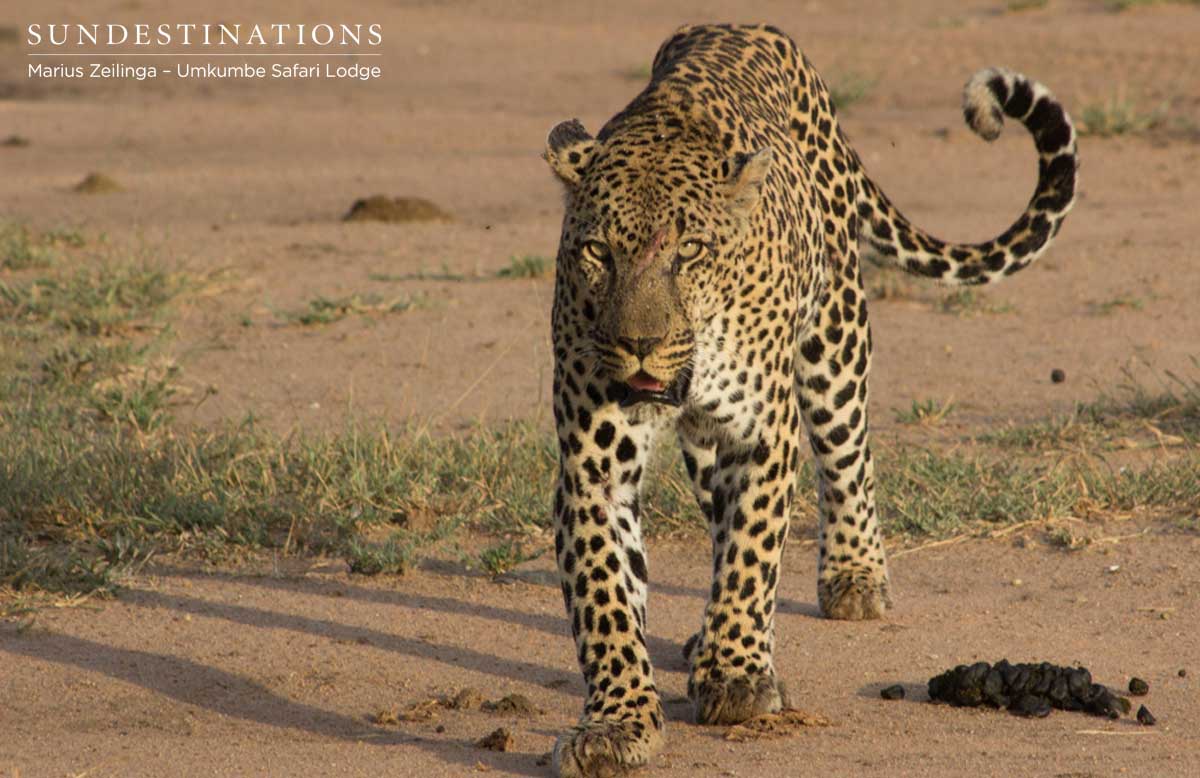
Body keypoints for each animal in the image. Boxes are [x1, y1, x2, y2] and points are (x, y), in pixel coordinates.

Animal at [542, 23, 1077, 777]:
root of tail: (743, 27)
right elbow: (606, 596)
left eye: (690, 250)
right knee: (716, 515)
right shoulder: (593, 462)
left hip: (835, 342)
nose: (638, 344)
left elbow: (752, 554)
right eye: (597, 252)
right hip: (711, 437)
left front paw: (736, 678)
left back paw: (854, 578)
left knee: (849, 458)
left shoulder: (764, 435)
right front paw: (618, 721)